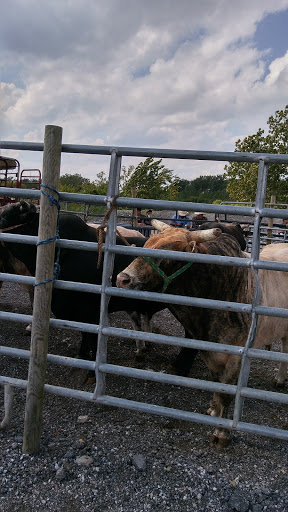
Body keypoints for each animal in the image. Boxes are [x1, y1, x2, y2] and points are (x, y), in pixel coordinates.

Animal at [117, 220, 288, 448]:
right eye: (146, 244)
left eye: (170, 254)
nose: (122, 278)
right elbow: (215, 386)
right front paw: (213, 411)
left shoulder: (236, 357)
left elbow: (226, 394)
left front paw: (221, 434)